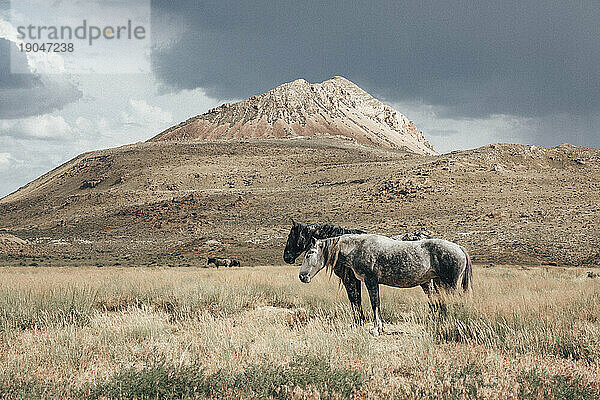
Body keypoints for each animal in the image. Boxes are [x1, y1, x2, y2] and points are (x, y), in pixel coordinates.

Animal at [298, 233, 472, 336]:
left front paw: (376, 329)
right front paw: (380, 327)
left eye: (309, 254)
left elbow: (375, 304)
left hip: (449, 284)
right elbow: (377, 304)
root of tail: (459, 248)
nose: (302, 276)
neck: (357, 247)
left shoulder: (371, 281)